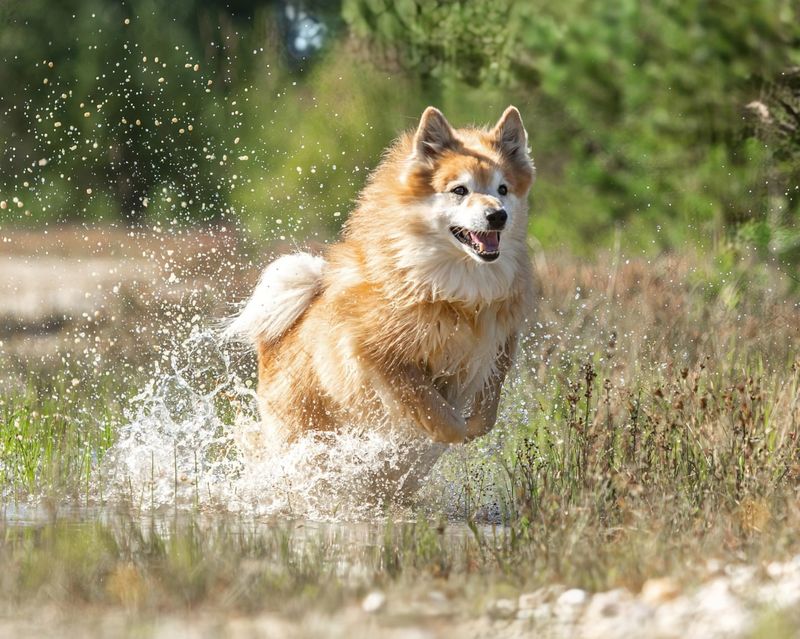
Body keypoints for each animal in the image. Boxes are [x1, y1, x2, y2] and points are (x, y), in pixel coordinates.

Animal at [228, 105, 536, 452]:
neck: (449, 285)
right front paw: (449, 431)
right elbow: (439, 414)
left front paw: (471, 426)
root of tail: (271, 347)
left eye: (503, 189)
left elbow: (486, 414)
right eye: (460, 190)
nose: (498, 215)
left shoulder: (498, 345)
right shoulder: (376, 356)